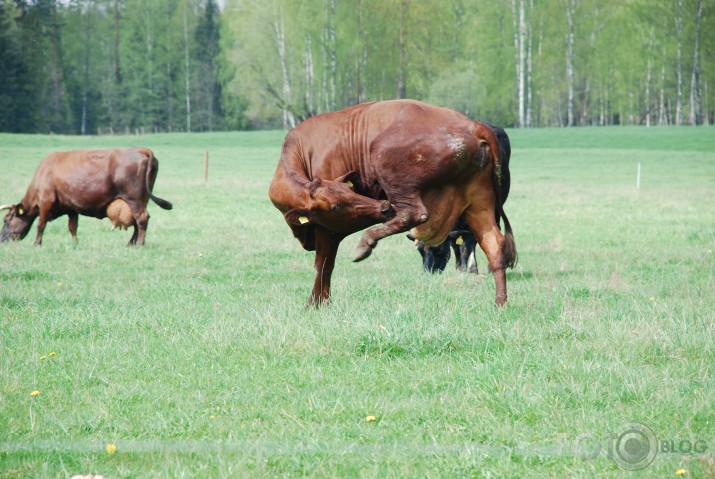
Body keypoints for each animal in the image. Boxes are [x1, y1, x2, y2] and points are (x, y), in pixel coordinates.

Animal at [0, 148, 173, 246]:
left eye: (6, 220)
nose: (2, 239)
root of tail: (142, 150)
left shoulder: (46, 202)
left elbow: (40, 224)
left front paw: (37, 243)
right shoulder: (71, 207)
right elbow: (72, 226)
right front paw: (75, 243)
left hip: (134, 199)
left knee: (141, 219)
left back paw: (139, 244)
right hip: (142, 200)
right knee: (139, 221)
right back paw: (131, 243)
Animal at [268, 99, 516, 306]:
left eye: (347, 195)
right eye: (338, 203)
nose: (384, 207)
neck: (303, 152)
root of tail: (475, 126)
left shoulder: (327, 230)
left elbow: (323, 265)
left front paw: (315, 304)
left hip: (389, 168)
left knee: (414, 214)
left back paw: (365, 243)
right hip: (478, 205)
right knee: (494, 244)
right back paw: (500, 304)